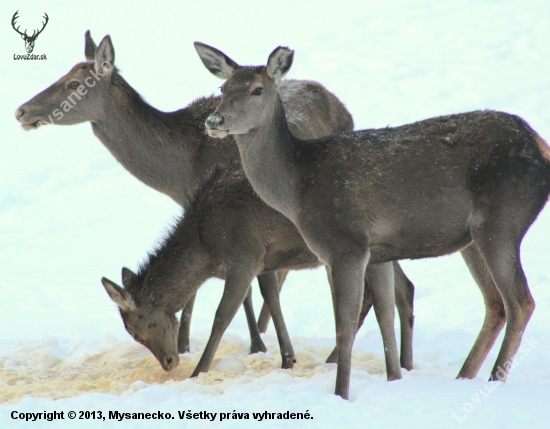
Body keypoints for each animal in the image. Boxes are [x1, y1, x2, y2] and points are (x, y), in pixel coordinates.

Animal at [103, 161, 412, 378]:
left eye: (141, 330)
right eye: (133, 335)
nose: (168, 362)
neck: (206, 249)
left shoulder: (245, 257)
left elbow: (222, 315)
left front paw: (199, 370)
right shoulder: (265, 260)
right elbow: (271, 299)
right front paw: (288, 358)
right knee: (403, 288)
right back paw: (402, 362)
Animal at [197, 41, 550, 400]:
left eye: (257, 89)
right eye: (222, 89)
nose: (214, 120)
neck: (298, 188)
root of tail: (541, 146)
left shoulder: (346, 245)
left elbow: (344, 327)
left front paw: (341, 394)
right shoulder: (378, 251)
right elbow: (385, 316)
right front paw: (394, 378)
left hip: (502, 220)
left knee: (521, 302)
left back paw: (494, 379)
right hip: (473, 238)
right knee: (495, 303)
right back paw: (463, 377)